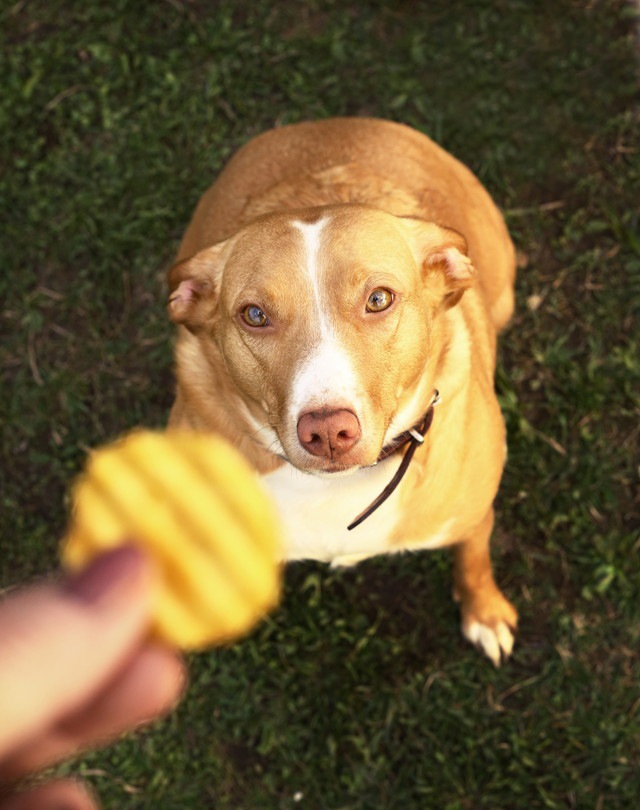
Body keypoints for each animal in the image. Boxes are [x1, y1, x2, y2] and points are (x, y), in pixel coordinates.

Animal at [166, 118, 520, 664]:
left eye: (379, 299)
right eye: (254, 315)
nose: (328, 431)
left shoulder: (473, 516)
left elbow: (474, 560)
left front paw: (484, 611)